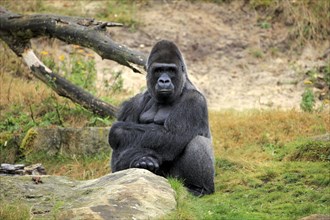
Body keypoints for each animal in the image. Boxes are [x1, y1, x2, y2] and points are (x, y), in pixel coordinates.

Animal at [109, 39, 215, 196]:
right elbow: (118, 159)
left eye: (171, 70)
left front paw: (116, 131)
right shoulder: (135, 102)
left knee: (197, 141)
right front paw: (142, 160)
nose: (164, 81)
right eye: (158, 70)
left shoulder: (194, 100)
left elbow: (172, 135)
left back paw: (198, 188)